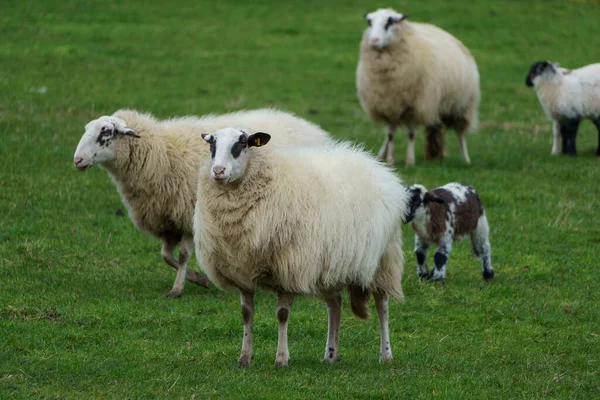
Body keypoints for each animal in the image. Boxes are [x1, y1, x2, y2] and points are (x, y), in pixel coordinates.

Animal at [74, 109, 332, 296]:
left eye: (105, 133)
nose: (77, 160)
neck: (160, 152)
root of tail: (315, 129)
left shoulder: (188, 215)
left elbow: (182, 256)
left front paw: (178, 289)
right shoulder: (169, 221)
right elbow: (166, 256)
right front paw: (199, 279)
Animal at [193, 127, 408, 366]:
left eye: (242, 143)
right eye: (211, 143)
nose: (218, 171)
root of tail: (376, 165)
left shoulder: (289, 267)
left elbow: (282, 314)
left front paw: (281, 359)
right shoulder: (242, 270)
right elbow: (246, 313)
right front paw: (244, 358)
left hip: (384, 260)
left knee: (382, 305)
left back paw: (385, 354)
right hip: (330, 264)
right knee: (335, 305)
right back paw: (331, 355)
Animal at [354, 7, 480, 167]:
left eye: (390, 22)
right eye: (369, 22)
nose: (374, 40)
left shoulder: (415, 106)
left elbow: (411, 134)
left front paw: (410, 161)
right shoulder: (388, 106)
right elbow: (390, 134)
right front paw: (390, 160)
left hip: (461, 106)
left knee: (460, 133)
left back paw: (465, 159)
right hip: (435, 105)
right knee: (435, 128)